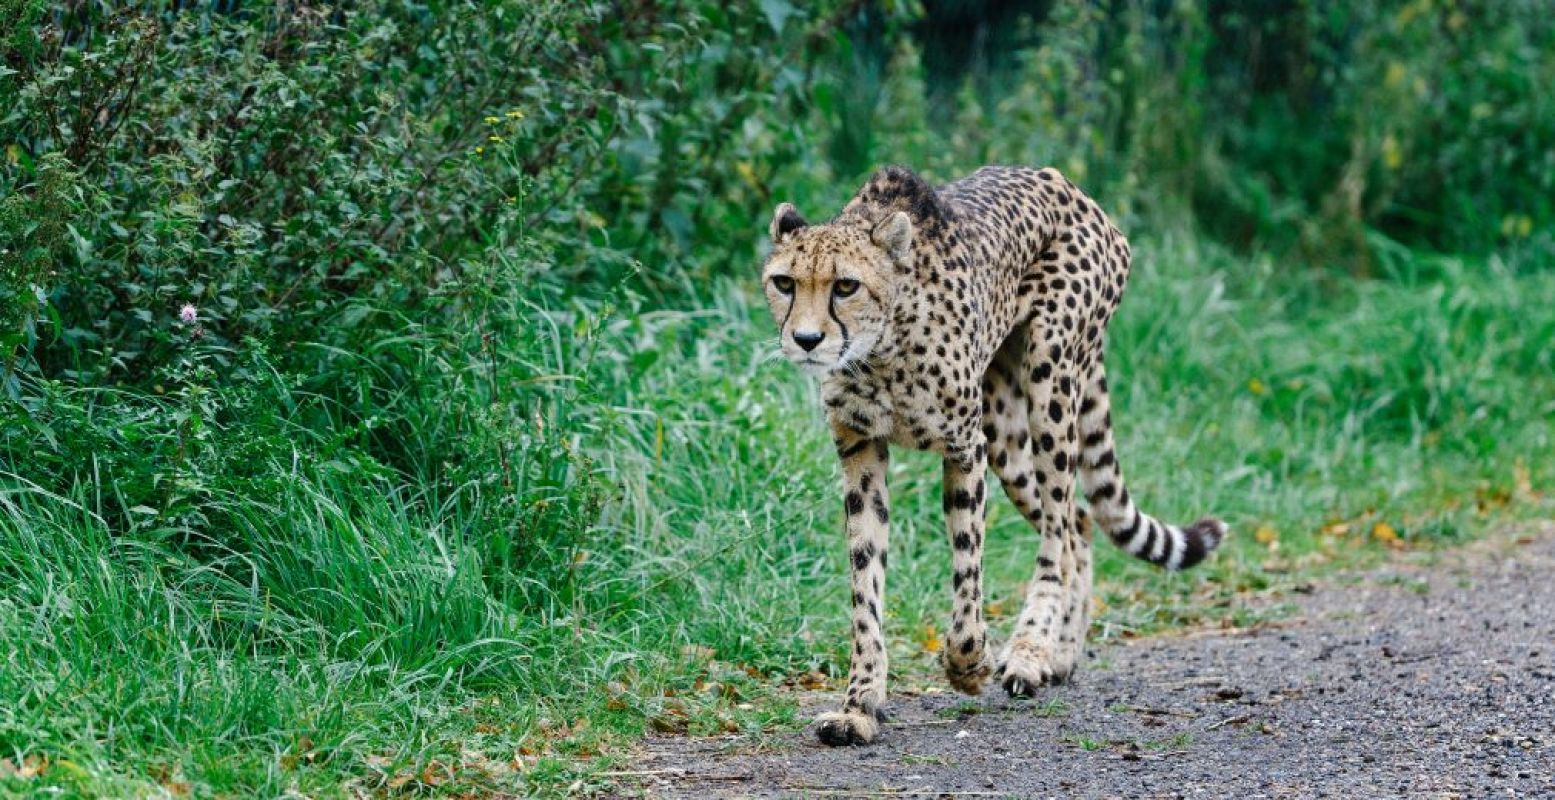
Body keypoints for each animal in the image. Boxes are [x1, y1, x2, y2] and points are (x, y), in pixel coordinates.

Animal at [761, 164, 1225, 743]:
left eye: (845, 286)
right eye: (784, 283)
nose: (805, 339)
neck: (881, 350)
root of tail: (1067, 185)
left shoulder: (964, 448)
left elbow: (967, 571)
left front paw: (968, 664)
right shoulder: (861, 452)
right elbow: (865, 588)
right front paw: (860, 705)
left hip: (1051, 376)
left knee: (1058, 528)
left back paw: (1029, 651)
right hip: (1005, 433)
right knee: (1078, 522)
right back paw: (1061, 653)